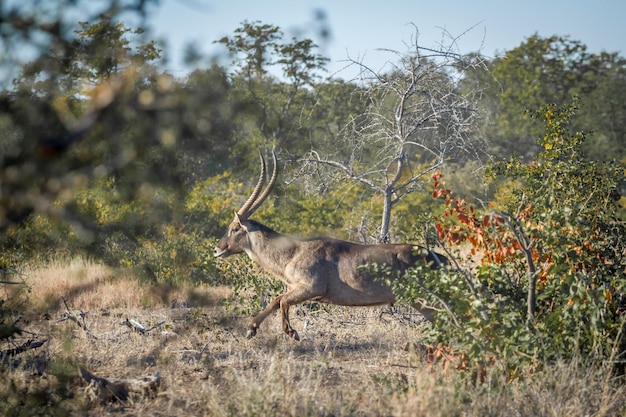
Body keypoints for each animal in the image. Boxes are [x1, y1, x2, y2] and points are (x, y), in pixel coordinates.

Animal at [214, 150, 444, 338]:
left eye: (234, 228)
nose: (217, 249)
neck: (293, 252)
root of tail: (435, 256)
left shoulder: (311, 288)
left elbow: (282, 301)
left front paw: (291, 332)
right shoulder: (296, 288)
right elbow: (276, 300)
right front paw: (251, 328)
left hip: (424, 300)